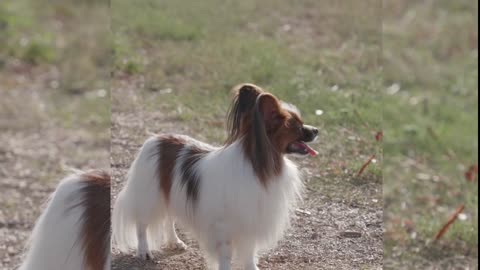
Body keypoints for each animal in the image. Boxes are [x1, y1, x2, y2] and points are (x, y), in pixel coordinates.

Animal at [112, 83, 318, 268]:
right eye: (296, 126)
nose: (317, 130)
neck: (258, 165)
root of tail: (155, 139)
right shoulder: (224, 228)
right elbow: (225, 258)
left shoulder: (250, 224)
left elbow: (249, 255)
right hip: (150, 197)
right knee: (142, 224)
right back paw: (144, 251)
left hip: (171, 193)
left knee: (169, 218)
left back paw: (174, 241)